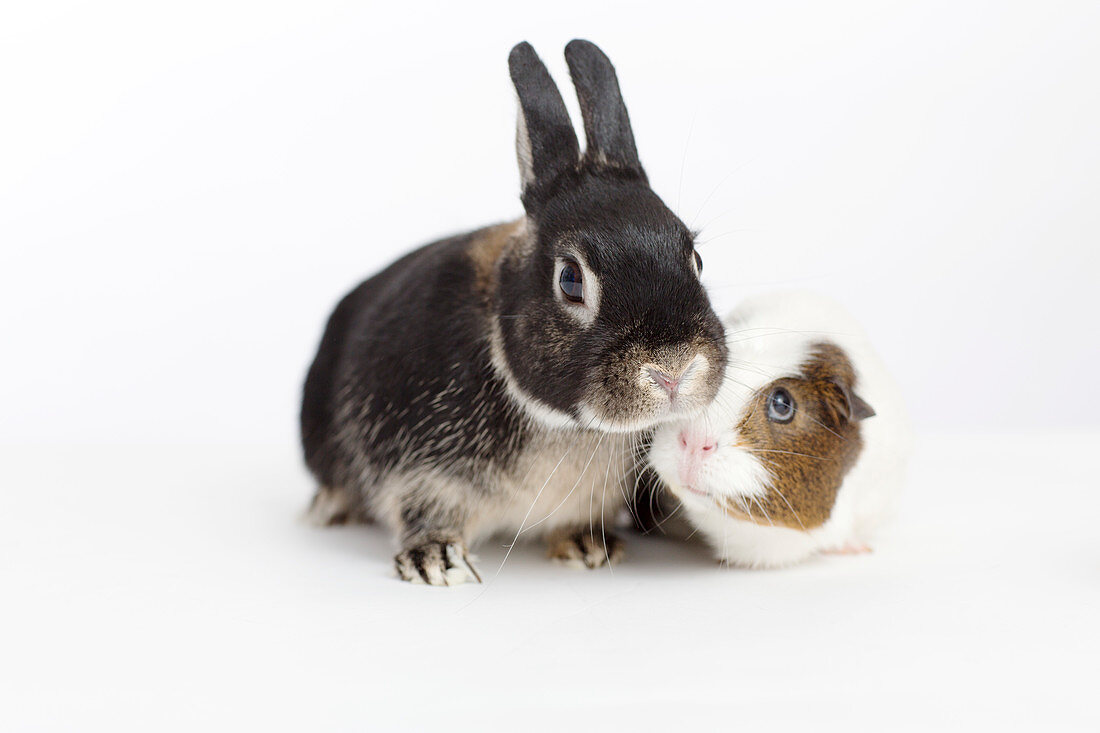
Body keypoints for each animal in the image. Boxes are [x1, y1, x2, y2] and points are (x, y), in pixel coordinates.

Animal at [301, 39, 730, 585]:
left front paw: (587, 546)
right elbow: (423, 512)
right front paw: (438, 562)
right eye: (570, 279)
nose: (673, 371)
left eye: (695, 259)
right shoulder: (418, 471)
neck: (568, 424)